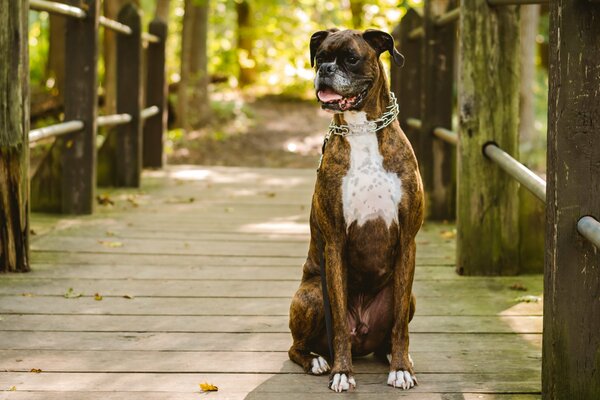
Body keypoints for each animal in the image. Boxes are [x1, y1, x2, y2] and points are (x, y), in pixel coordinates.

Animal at [288, 29, 424, 392]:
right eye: (320, 57)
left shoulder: (407, 242)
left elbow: (401, 328)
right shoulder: (334, 244)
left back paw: (392, 355)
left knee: (390, 333)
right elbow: (337, 327)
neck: (362, 131)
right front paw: (342, 372)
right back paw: (317, 361)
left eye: (350, 58)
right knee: (297, 347)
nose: (325, 70)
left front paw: (402, 368)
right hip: (311, 295)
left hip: (408, 297)